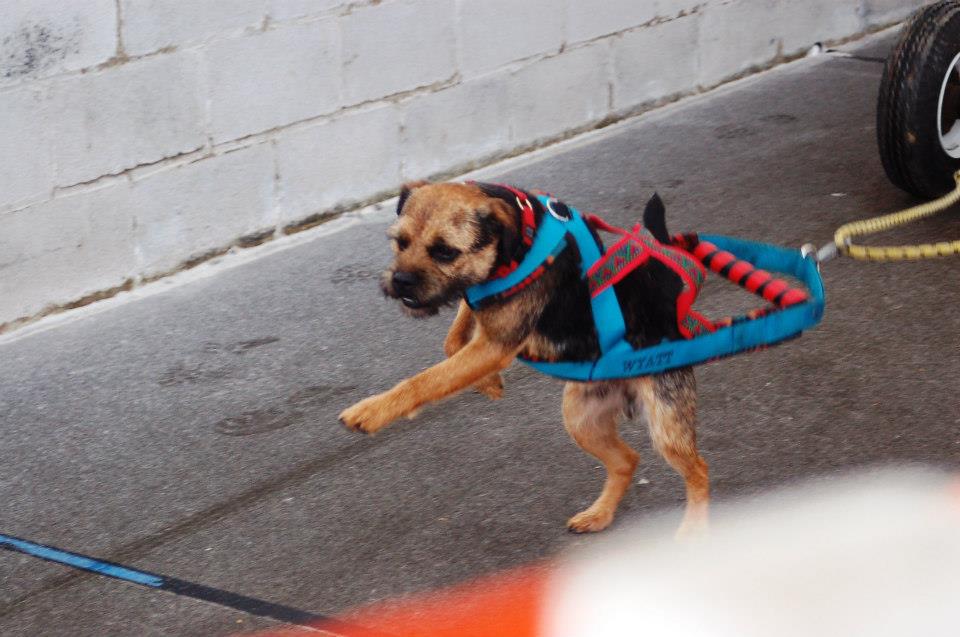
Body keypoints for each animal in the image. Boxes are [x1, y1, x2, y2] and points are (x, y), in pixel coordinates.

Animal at [342, 181, 708, 536]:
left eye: (445, 251)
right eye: (400, 242)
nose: (400, 280)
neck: (520, 239)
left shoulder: (495, 344)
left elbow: (428, 380)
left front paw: (373, 410)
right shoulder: (482, 314)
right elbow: (453, 339)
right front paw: (488, 383)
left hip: (665, 422)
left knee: (699, 470)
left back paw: (692, 531)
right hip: (580, 417)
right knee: (626, 460)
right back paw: (599, 514)